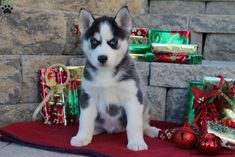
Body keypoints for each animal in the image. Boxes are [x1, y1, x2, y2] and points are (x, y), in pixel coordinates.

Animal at [70, 6, 160, 151]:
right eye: (94, 42)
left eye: (113, 42)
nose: (102, 58)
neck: (106, 74)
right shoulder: (88, 96)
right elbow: (85, 121)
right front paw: (82, 137)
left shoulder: (133, 96)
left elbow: (134, 124)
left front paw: (136, 142)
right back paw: (95, 130)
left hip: (145, 105)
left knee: (143, 123)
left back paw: (151, 130)